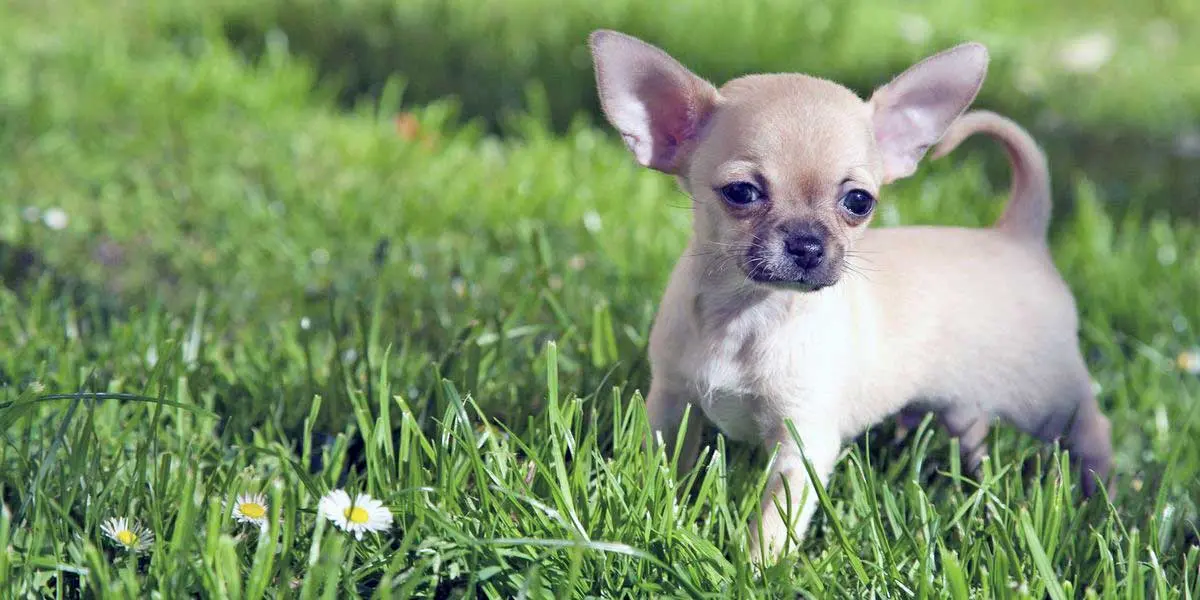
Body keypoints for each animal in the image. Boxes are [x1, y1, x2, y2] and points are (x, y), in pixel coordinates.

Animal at [590, 30, 1113, 559]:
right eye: (741, 192)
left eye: (858, 202)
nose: (806, 245)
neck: (746, 314)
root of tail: (1018, 234)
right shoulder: (672, 403)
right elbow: (662, 465)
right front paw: (654, 510)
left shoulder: (801, 446)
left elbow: (774, 523)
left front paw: (758, 567)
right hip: (964, 399)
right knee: (974, 428)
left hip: (1044, 400)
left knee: (1092, 428)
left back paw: (1100, 495)